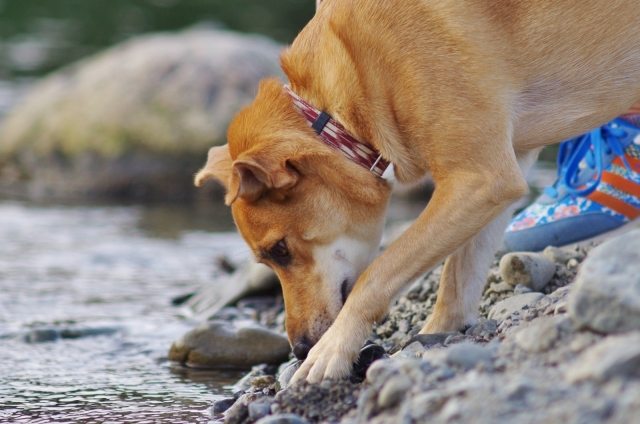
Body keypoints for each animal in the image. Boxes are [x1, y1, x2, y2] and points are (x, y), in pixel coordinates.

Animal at [192, 0, 640, 384]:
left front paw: (333, 349)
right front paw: (440, 333)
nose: (300, 348)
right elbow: (460, 273)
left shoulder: (480, 179)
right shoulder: (502, 176)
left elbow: (378, 274)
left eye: (280, 250)